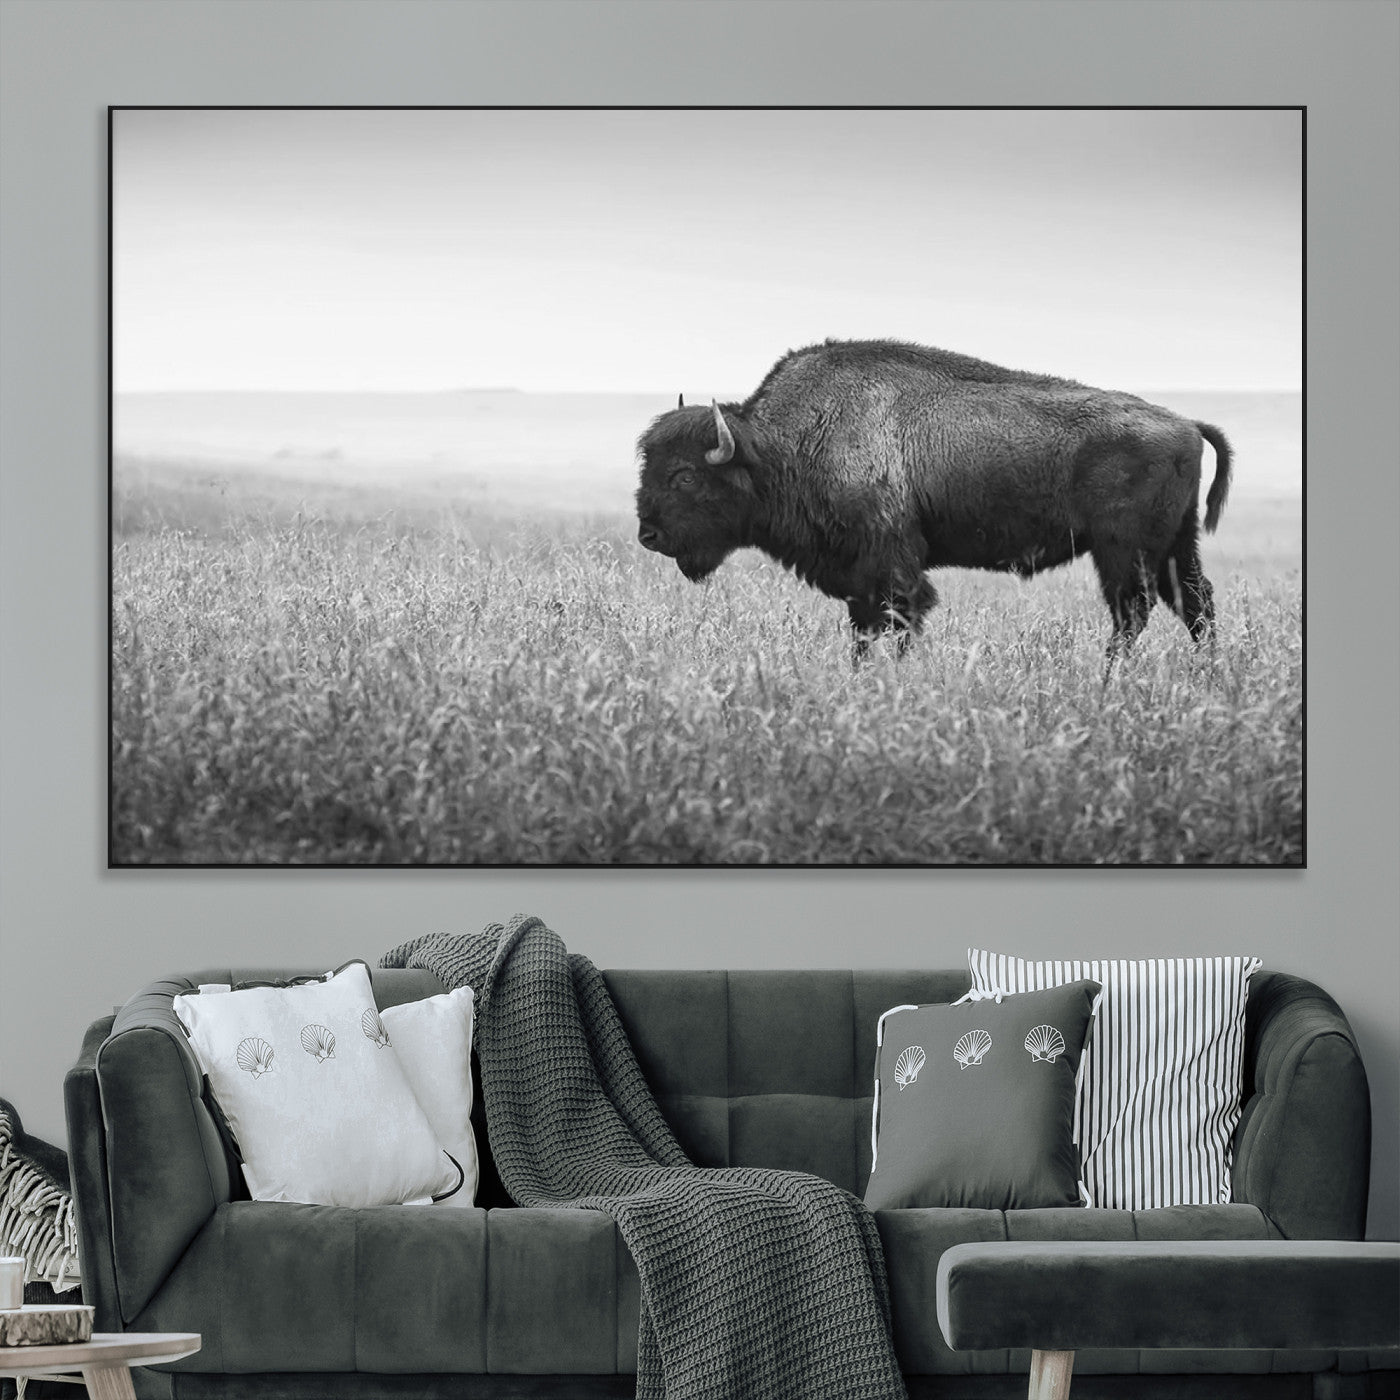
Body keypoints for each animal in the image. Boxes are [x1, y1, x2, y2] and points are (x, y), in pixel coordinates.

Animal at [635, 338, 1232, 659]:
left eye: (685, 476)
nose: (648, 535)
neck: (780, 446)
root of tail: (1186, 423)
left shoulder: (891, 565)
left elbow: (899, 620)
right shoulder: (859, 577)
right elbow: (864, 629)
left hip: (1123, 551)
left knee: (1134, 613)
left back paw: (1110, 678)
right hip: (1175, 546)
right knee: (1195, 605)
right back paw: (1204, 675)